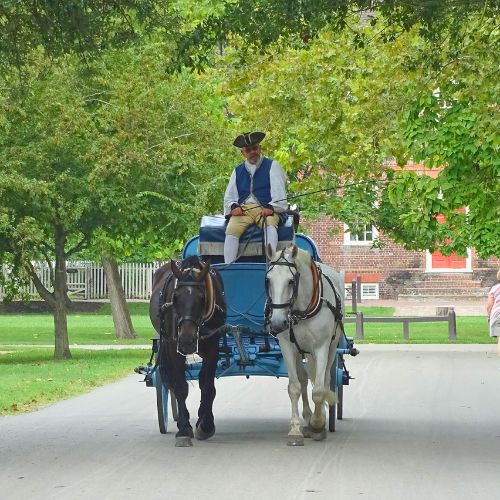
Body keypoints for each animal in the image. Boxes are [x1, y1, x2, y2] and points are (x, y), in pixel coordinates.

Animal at [149, 256, 226, 448]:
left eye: (202, 297)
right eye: (175, 297)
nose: (187, 340)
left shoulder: (213, 345)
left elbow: (208, 387)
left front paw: (205, 425)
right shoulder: (173, 347)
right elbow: (181, 387)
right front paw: (184, 429)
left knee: (202, 381)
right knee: (171, 380)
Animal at [266, 244, 344, 444]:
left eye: (291, 281)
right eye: (268, 280)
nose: (277, 323)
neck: (301, 310)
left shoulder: (321, 347)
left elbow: (319, 390)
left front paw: (318, 423)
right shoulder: (286, 346)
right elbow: (294, 387)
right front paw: (295, 429)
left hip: (331, 347)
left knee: (325, 379)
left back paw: (319, 418)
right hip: (300, 351)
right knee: (302, 378)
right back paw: (307, 416)